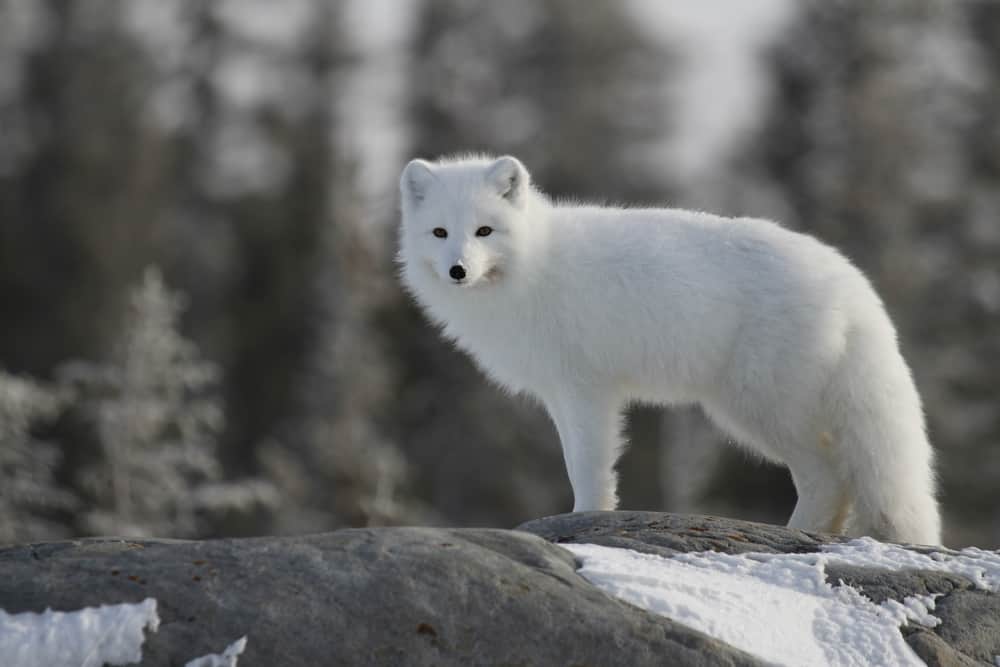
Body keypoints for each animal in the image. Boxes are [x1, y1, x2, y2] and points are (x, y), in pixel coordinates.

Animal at [396, 154, 936, 544]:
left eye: (484, 231)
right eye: (440, 233)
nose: (458, 270)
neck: (534, 266)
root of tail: (850, 280)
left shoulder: (586, 390)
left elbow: (587, 467)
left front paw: (584, 520)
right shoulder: (559, 394)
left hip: (759, 408)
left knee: (828, 477)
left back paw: (792, 535)